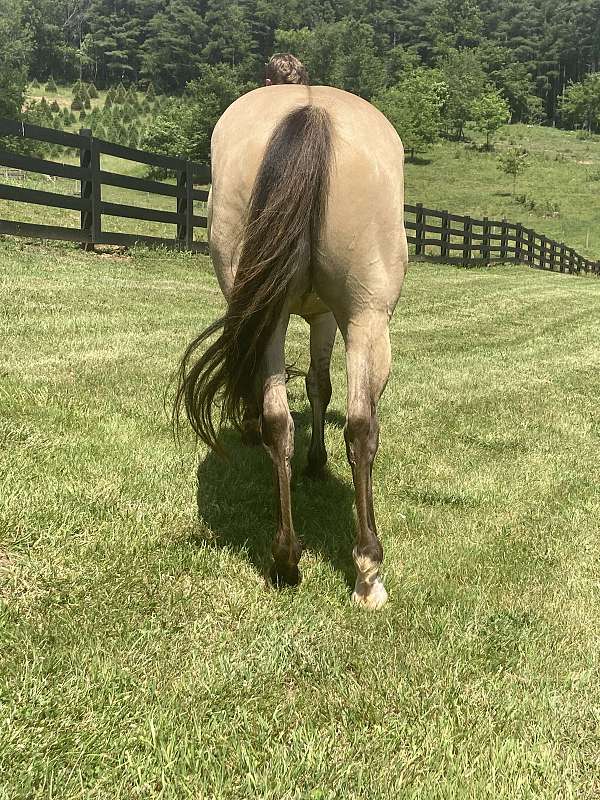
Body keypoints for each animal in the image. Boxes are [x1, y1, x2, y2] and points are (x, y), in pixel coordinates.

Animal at [175, 85, 408, 609]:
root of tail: (311, 110)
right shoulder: (325, 317)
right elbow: (321, 386)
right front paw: (317, 462)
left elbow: (312, 390)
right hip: (362, 316)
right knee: (359, 426)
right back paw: (365, 568)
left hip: (300, 314)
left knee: (285, 422)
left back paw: (291, 558)